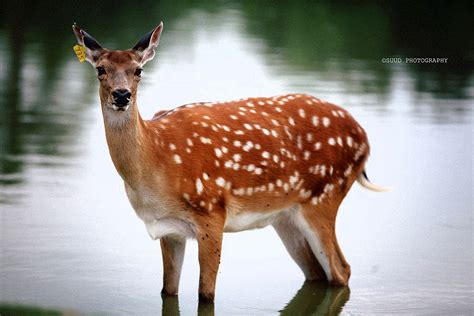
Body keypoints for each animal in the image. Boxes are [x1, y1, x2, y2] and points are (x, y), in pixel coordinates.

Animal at [72, 21, 386, 302]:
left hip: (324, 196)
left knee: (340, 270)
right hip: (286, 216)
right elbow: (167, 291)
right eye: (100, 69)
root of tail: (364, 139)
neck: (156, 161)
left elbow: (206, 294)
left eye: (139, 70)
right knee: (318, 273)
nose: (121, 95)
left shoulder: (212, 211)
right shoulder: (169, 229)